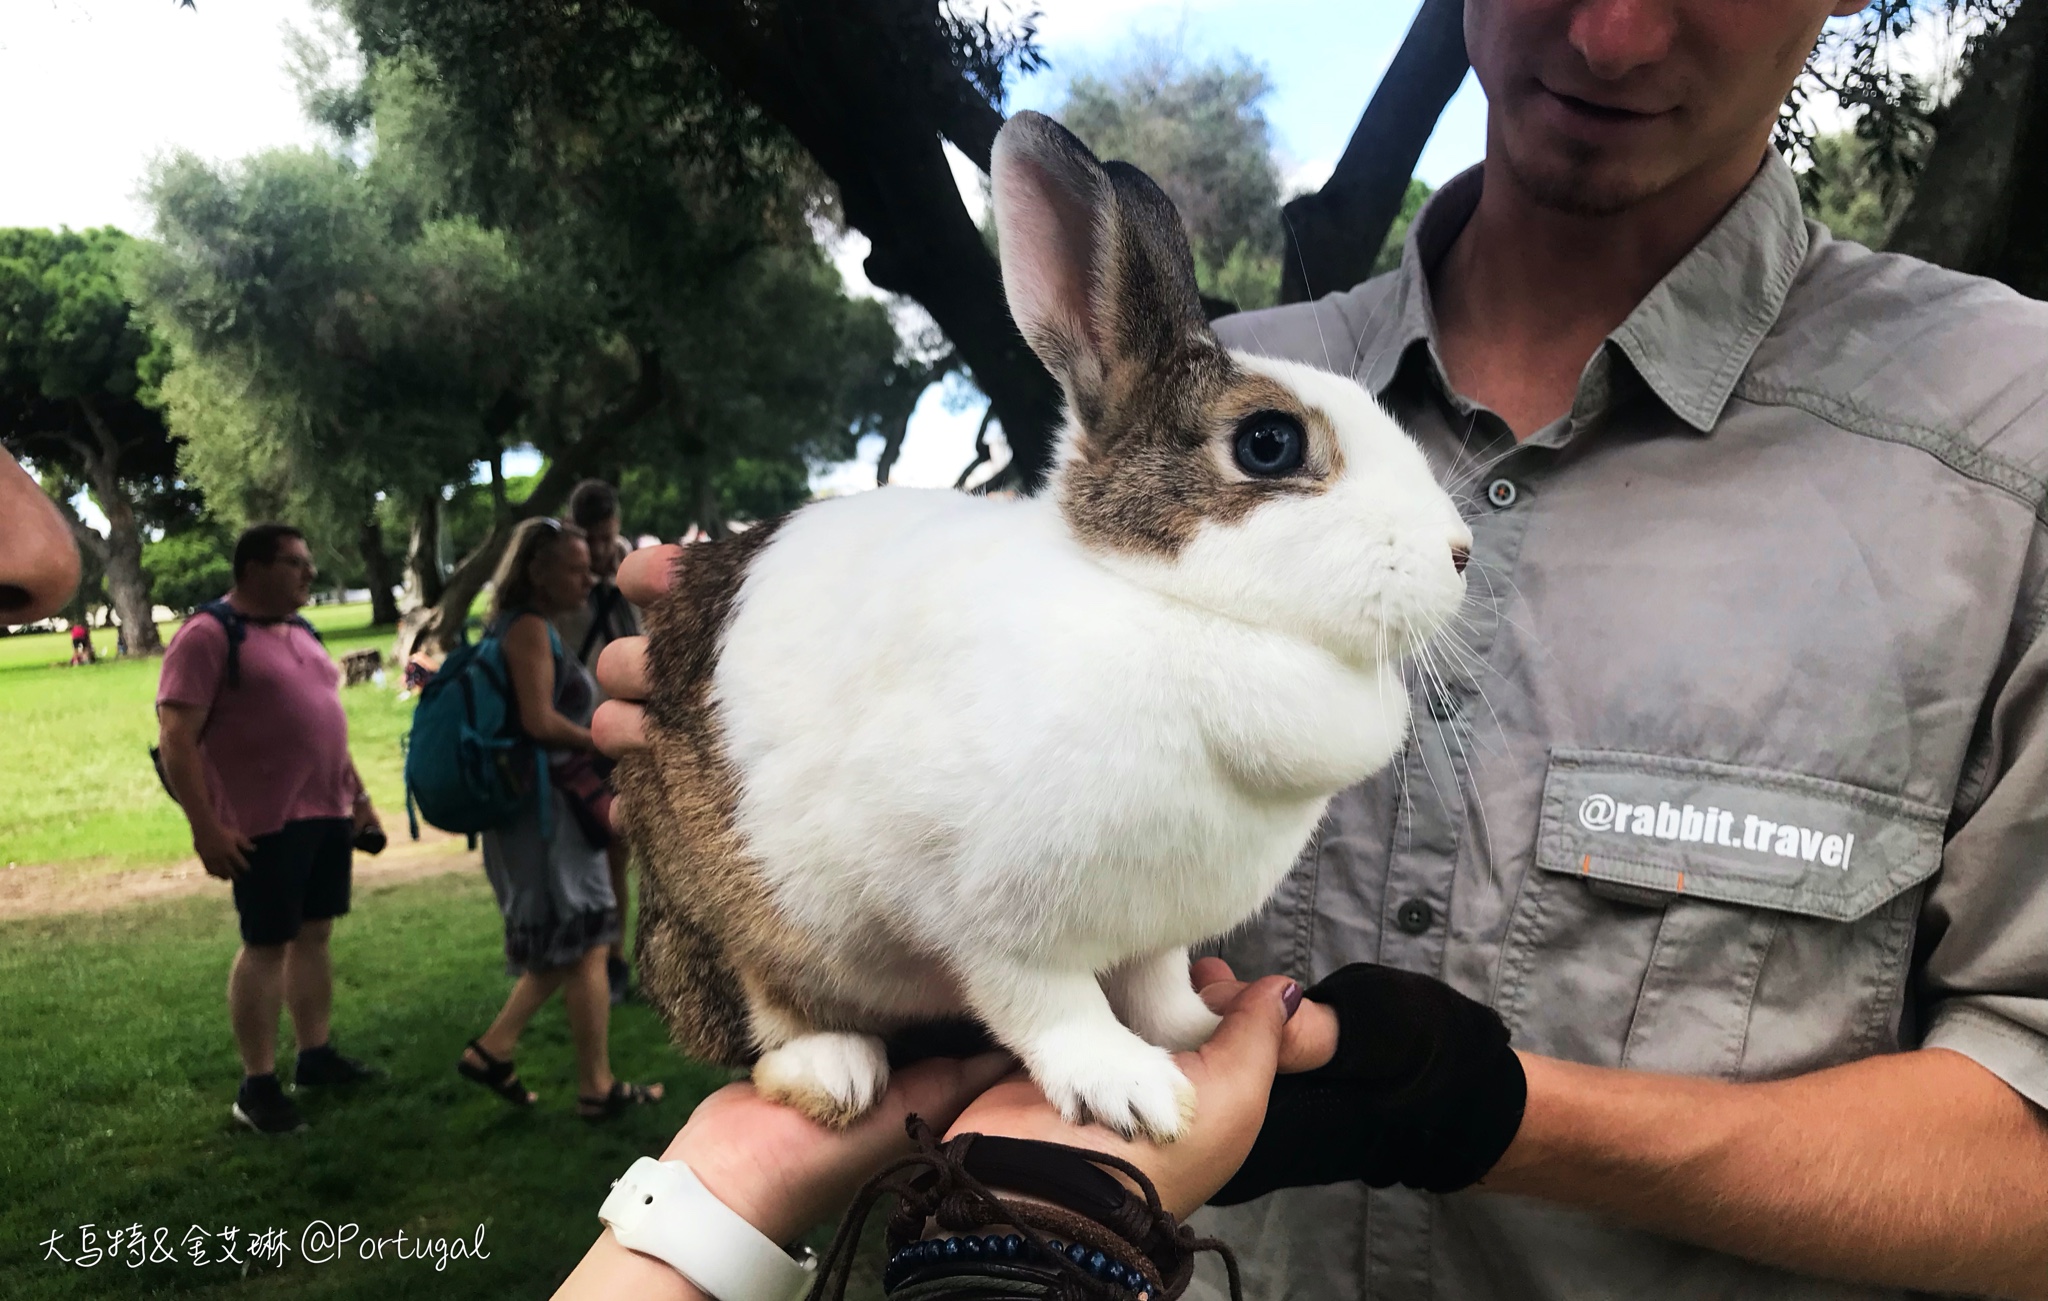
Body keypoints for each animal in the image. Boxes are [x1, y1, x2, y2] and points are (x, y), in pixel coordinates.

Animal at [614, 109, 1482, 1139]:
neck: (1173, 607)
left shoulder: (1153, 929)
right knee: (764, 1009)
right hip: (723, 903)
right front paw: (1132, 1090)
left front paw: (1200, 1028)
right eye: (1269, 443)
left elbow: (1155, 986)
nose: (1461, 551)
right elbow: (1048, 1005)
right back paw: (832, 1070)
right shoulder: (982, 918)